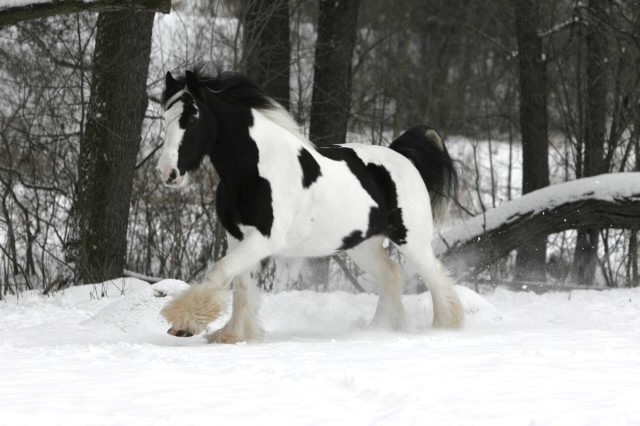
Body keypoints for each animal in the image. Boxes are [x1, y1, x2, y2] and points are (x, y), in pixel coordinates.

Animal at [157, 69, 462, 342]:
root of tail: (402, 156)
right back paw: (380, 329)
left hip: (412, 240)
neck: (255, 169)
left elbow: (220, 272)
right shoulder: (237, 237)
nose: (168, 173)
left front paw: (183, 324)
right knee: (391, 274)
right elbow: (241, 284)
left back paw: (444, 327)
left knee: (435, 276)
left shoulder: (265, 239)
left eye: (192, 117)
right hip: (363, 245)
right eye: (164, 117)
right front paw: (232, 335)